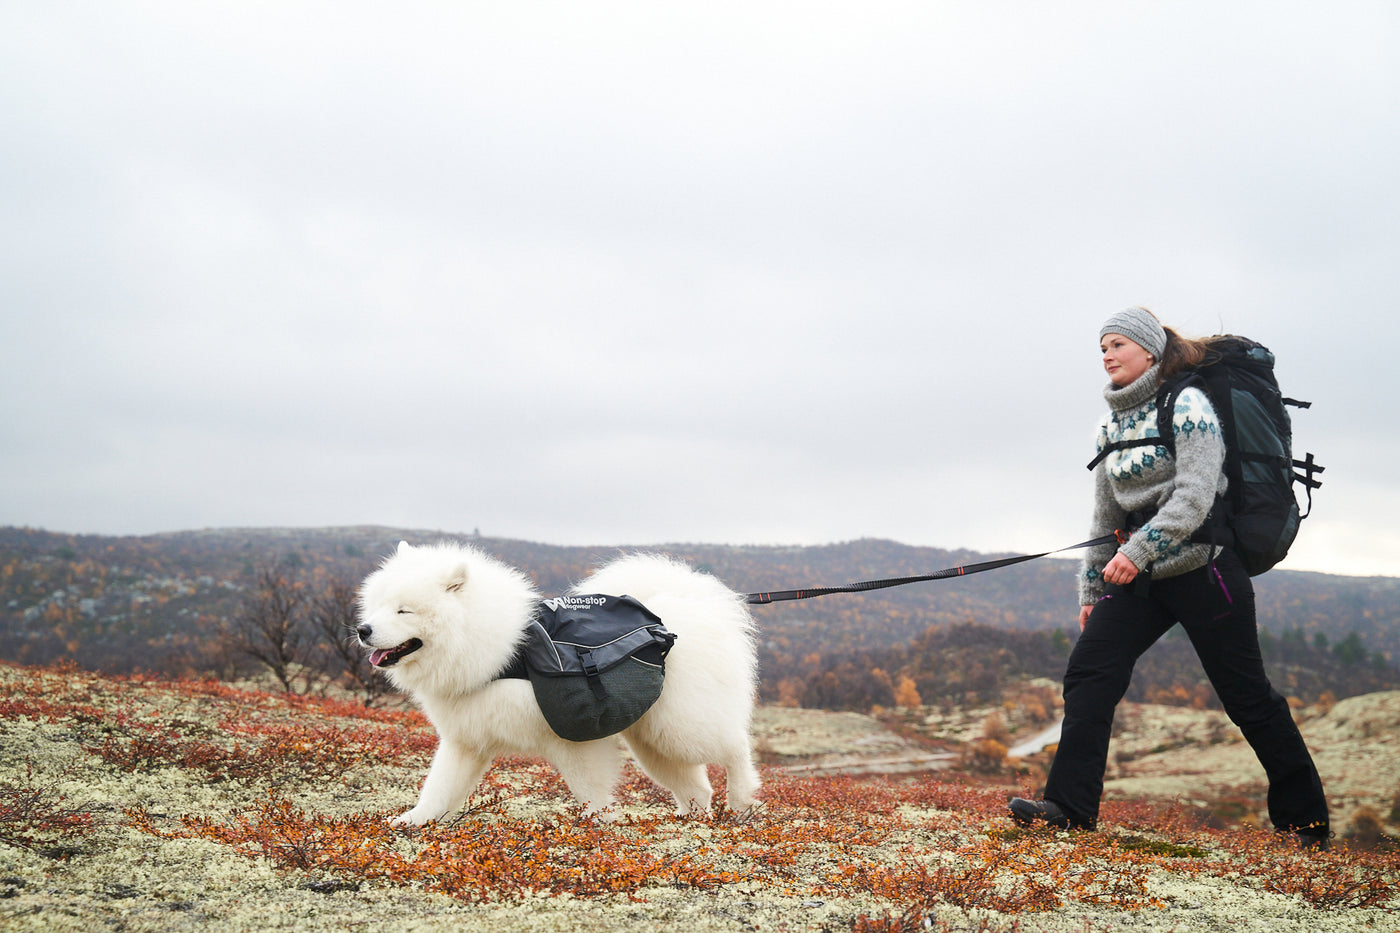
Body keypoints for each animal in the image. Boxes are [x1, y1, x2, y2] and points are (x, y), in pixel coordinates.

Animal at [355, 537, 761, 823]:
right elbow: (438, 789)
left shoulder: (572, 737)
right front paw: (412, 821)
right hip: (654, 739)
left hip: (682, 727)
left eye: (404, 611)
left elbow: (590, 791)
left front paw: (598, 827)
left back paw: (741, 799)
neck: (505, 653)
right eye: (377, 605)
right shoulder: (466, 740)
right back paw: (693, 818)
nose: (363, 630)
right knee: (698, 785)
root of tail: (684, 609)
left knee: (735, 747)